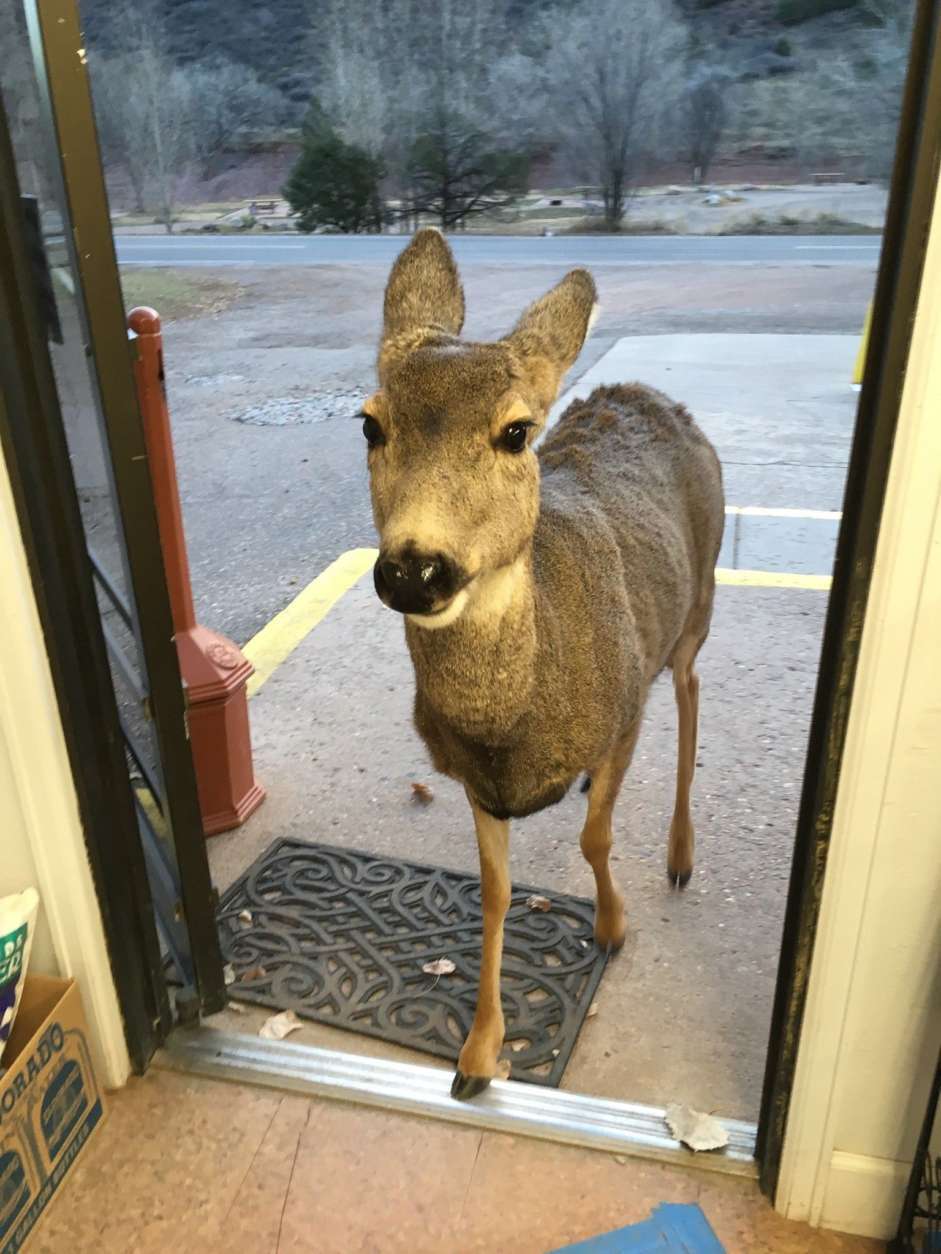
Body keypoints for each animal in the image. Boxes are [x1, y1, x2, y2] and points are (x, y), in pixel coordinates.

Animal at [363, 230, 727, 1103]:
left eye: (515, 432)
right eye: (369, 425)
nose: (413, 569)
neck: (514, 722)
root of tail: (650, 392)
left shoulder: (622, 709)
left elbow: (595, 839)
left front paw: (613, 925)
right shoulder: (474, 781)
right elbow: (494, 893)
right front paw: (476, 1055)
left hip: (697, 603)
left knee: (690, 690)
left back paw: (679, 855)